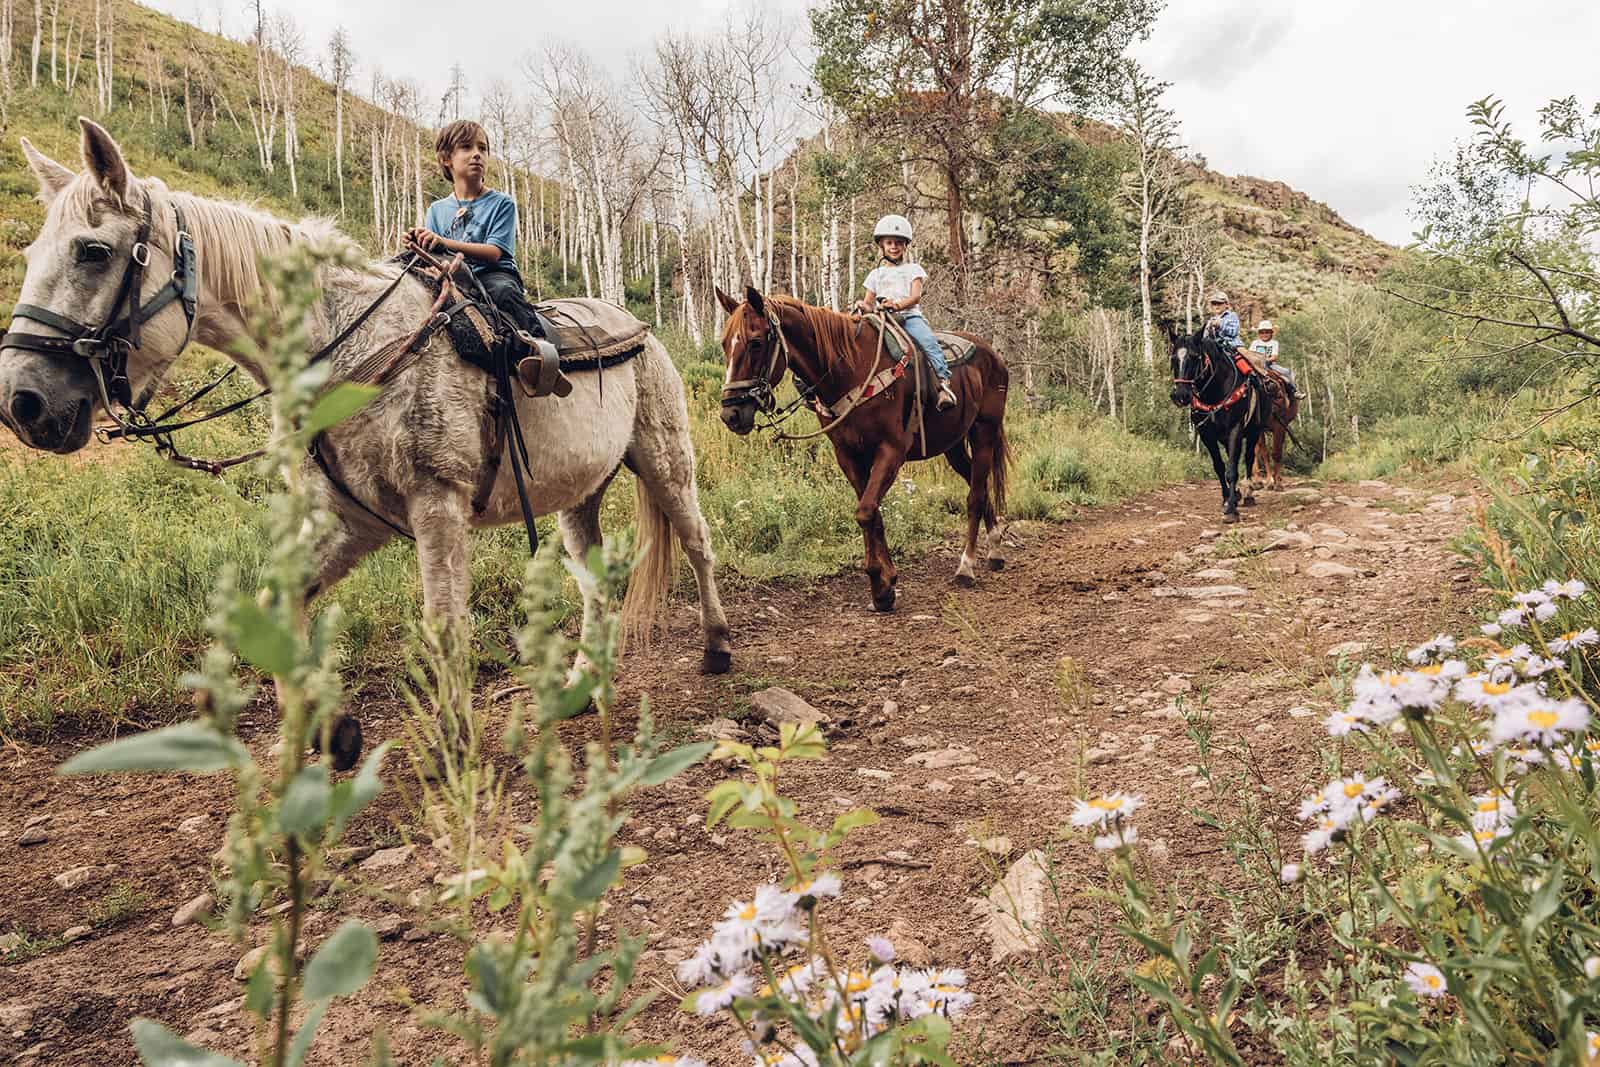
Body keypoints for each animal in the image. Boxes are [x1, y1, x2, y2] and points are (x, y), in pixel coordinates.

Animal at [0, 120, 736, 675]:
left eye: (93, 251)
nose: (22, 402)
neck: (352, 349)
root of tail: (642, 329)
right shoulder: (351, 521)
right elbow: (284, 611)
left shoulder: (437, 510)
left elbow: (445, 633)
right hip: (577, 492)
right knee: (593, 579)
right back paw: (586, 679)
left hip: (666, 462)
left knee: (698, 542)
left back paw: (717, 647)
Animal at [716, 287, 1004, 614]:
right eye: (725, 343)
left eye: (755, 342)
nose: (731, 414)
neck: (850, 369)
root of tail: (993, 355)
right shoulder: (848, 454)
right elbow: (872, 512)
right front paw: (885, 587)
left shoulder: (892, 450)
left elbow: (865, 512)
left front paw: (880, 584)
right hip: (953, 445)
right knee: (978, 485)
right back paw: (995, 549)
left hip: (984, 432)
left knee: (975, 495)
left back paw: (966, 567)